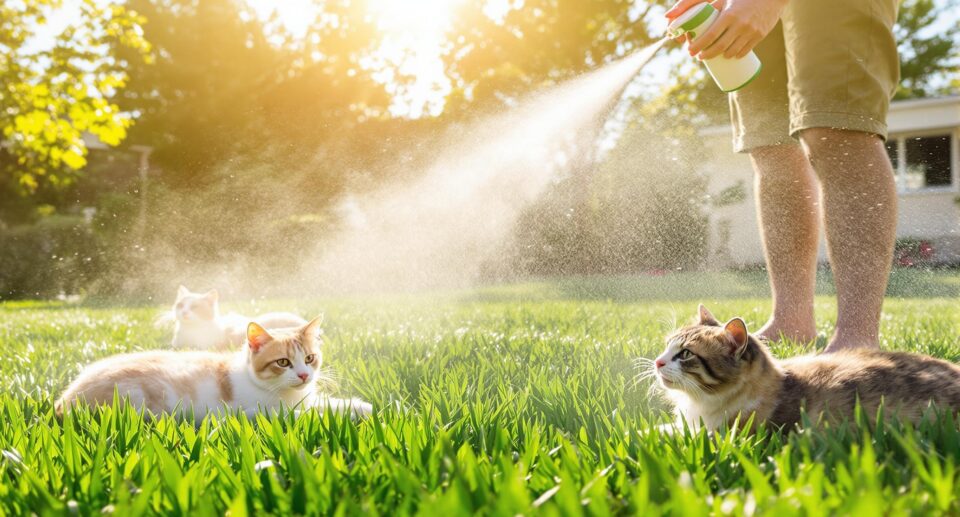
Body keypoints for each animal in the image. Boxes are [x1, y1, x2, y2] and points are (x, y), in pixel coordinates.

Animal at [56, 316, 372, 422]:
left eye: (309, 358)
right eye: (283, 362)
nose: (305, 375)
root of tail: (64, 399)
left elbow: (326, 403)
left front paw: (360, 407)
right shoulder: (257, 410)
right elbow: (304, 413)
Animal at [159, 284, 306, 348]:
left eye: (195, 307)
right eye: (180, 305)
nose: (184, 312)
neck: (190, 330)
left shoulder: (205, 346)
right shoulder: (175, 346)